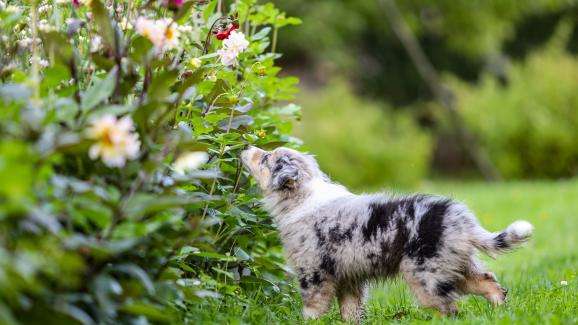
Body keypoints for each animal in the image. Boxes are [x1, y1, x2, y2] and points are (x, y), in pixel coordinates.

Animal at [238, 146, 532, 322]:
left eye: (266, 158)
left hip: (424, 275)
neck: (302, 197)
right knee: (489, 282)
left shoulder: (314, 274)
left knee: (450, 308)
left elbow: (312, 309)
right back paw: (502, 312)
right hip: (455, 267)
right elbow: (351, 312)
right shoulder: (348, 278)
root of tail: (462, 219)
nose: (246, 147)